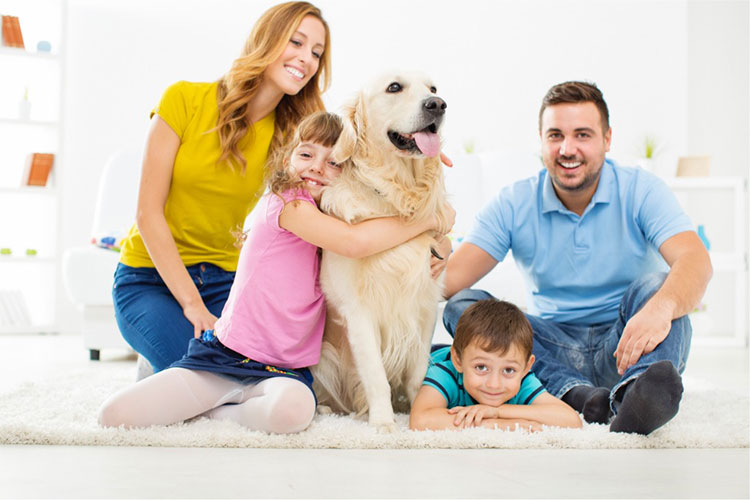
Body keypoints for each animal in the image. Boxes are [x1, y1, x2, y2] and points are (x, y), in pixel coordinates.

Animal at [312, 72, 450, 432]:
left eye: (433, 88)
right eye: (394, 88)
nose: (438, 105)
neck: (397, 201)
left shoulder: (425, 305)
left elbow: (418, 373)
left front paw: (419, 412)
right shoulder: (358, 311)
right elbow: (375, 375)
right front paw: (384, 424)